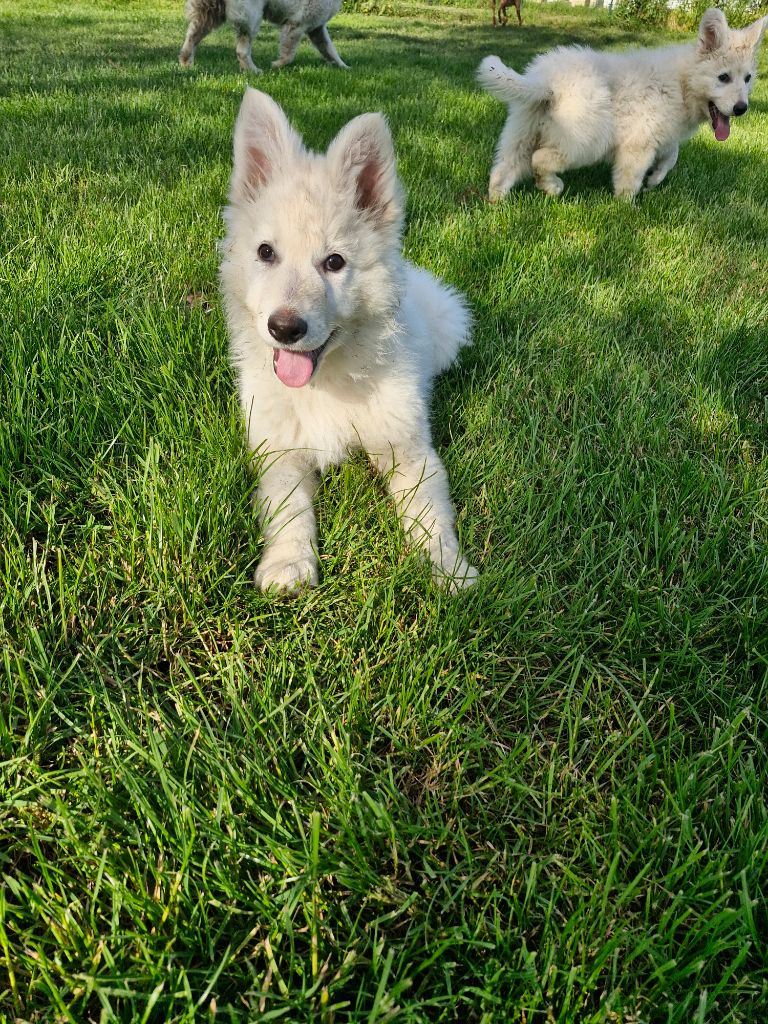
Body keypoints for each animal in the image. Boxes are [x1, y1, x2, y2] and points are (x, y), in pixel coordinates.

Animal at [179, 0, 348, 73]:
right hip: (252, 18)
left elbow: (330, 50)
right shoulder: (296, 26)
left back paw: (186, 63)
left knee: (191, 38)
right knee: (242, 51)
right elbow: (289, 55)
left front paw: (344, 67)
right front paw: (276, 65)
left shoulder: (317, 29)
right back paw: (254, 71)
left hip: (210, 13)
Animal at [219, 93, 479, 598]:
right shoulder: (281, 454)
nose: (285, 328)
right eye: (265, 253)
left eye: (334, 262)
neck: (327, 383)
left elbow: (431, 517)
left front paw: (448, 570)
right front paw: (289, 565)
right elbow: (288, 511)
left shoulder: (410, 452)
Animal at [479, 7, 765, 199]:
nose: (742, 109)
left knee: (505, 169)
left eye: (748, 78)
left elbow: (671, 156)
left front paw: (655, 179)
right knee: (539, 159)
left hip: (521, 131)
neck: (682, 83)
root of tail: (545, 80)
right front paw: (626, 208)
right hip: (585, 140)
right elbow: (631, 178)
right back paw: (551, 187)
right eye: (723, 77)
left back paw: (496, 202)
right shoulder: (638, 143)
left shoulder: (662, 135)